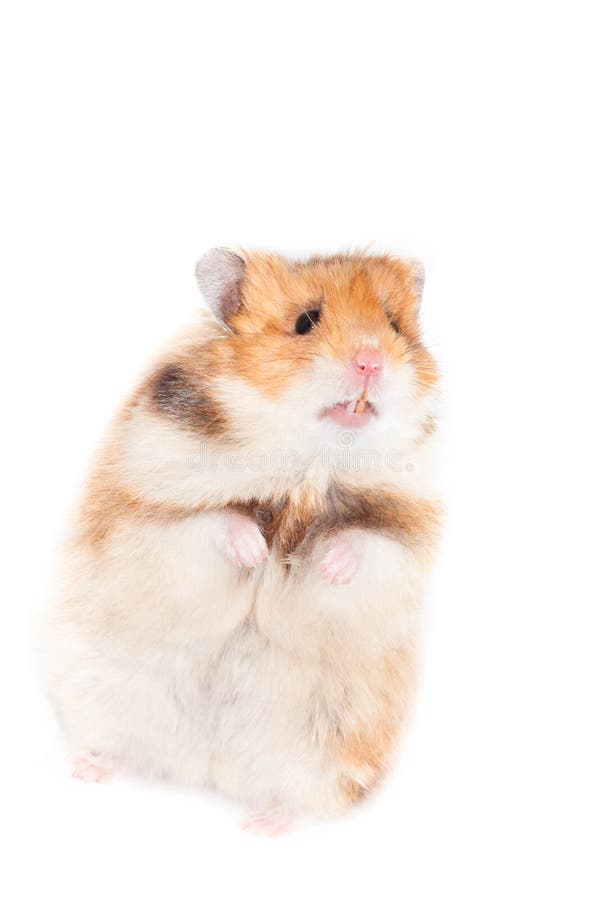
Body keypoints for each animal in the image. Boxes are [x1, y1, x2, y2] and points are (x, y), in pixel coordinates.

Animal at [41, 249, 442, 833]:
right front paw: (255, 549)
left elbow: (364, 546)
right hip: (100, 695)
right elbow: (213, 525)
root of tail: (204, 768)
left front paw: (330, 563)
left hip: (327, 753)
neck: (309, 461)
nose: (371, 362)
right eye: (305, 321)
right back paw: (87, 770)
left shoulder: (404, 543)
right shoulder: (147, 520)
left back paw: (262, 824)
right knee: (124, 749)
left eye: (394, 326)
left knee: (300, 799)